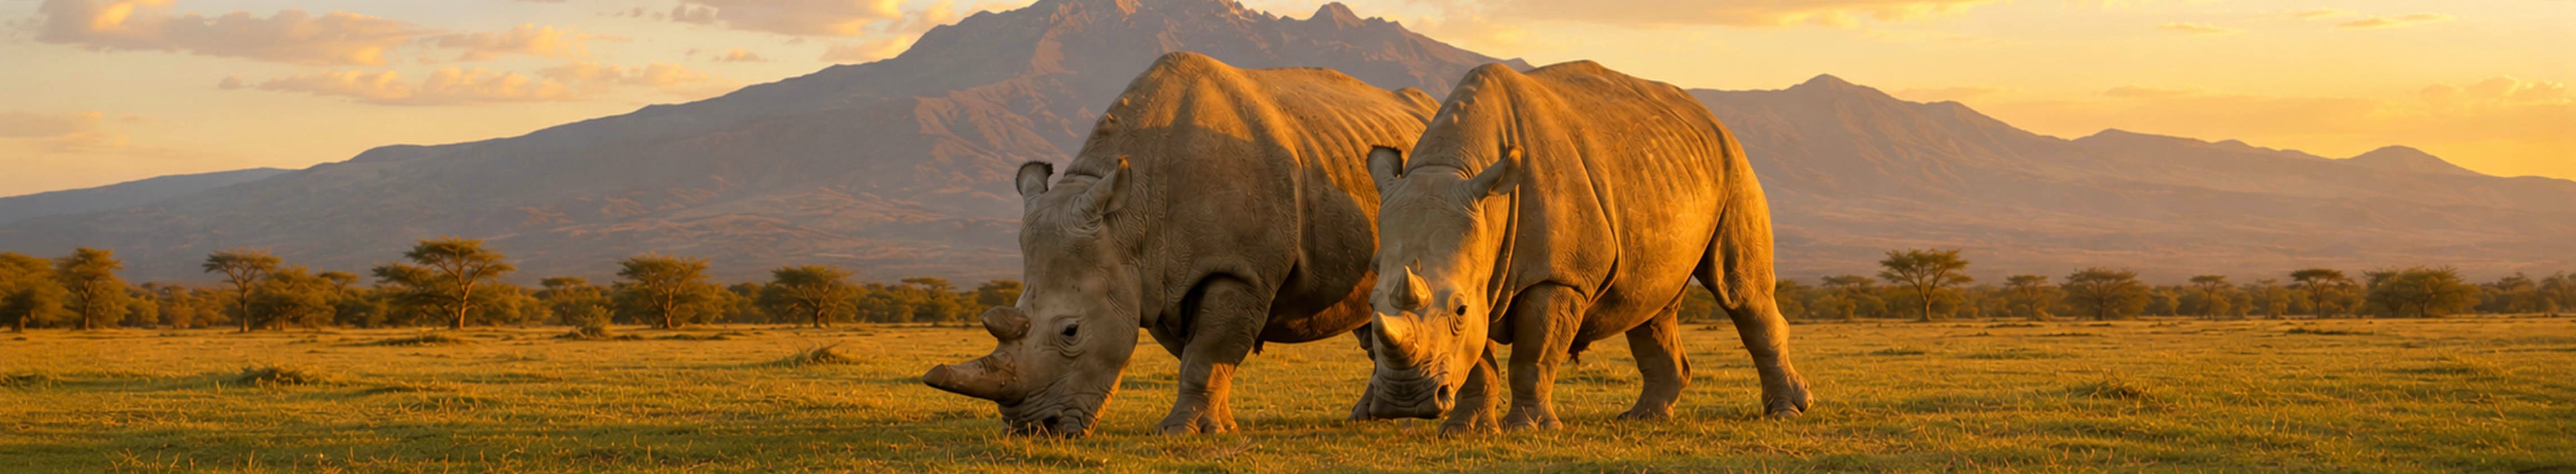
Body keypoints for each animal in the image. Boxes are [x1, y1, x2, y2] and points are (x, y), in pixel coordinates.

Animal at [921, 52, 1438, 436]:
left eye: (1070, 332)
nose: (1033, 429)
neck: (1128, 219)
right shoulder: (1152, 278)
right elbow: (1198, 351)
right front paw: (1219, 428)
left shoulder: (1238, 268)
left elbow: (1208, 351)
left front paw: (1184, 432)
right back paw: (1371, 417)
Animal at [1357, 61, 1812, 432]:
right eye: (1371, 305)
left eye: (1460, 309)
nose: (1404, 402)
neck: (1456, 169)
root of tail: (1708, 114)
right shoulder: (1478, 268)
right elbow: (1478, 362)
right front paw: (1464, 430)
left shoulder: (1559, 276)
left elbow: (1533, 356)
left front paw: (1529, 430)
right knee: (1650, 305)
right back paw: (1643, 419)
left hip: (1734, 166)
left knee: (1741, 291)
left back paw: (1786, 413)